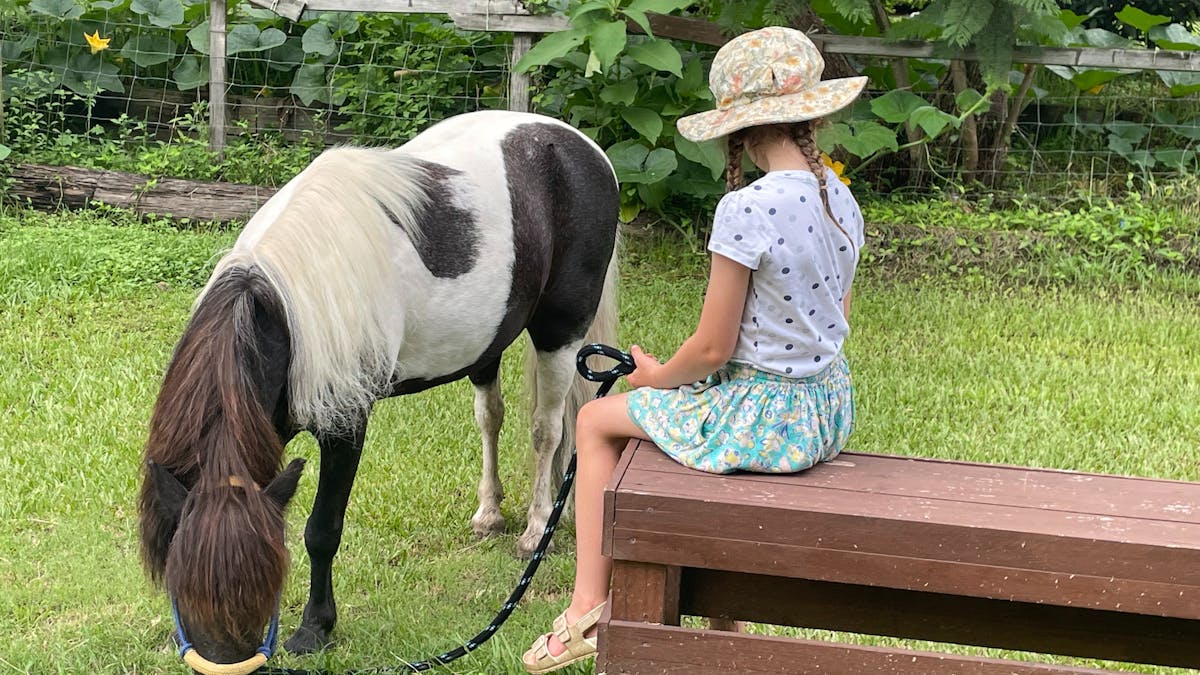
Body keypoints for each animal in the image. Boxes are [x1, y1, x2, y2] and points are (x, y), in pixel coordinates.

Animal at [137, 110, 620, 667]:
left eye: (263, 580)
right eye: (182, 583)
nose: (226, 664)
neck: (283, 309)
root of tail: (578, 144)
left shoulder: (345, 423)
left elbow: (322, 530)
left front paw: (315, 628)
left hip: (561, 330)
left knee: (547, 429)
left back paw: (537, 528)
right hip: (488, 345)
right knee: (490, 417)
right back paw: (489, 513)